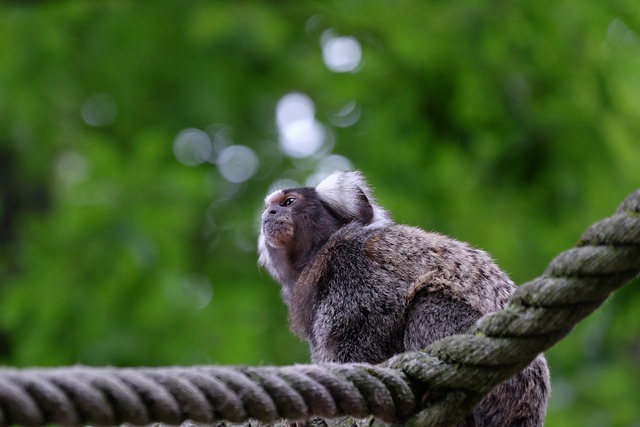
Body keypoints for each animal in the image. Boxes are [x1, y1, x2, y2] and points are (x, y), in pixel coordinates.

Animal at [258, 171, 548, 427]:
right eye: (270, 206)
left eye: (289, 202)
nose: (268, 214)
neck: (320, 251)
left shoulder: (352, 262)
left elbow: (378, 319)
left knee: (427, 303)